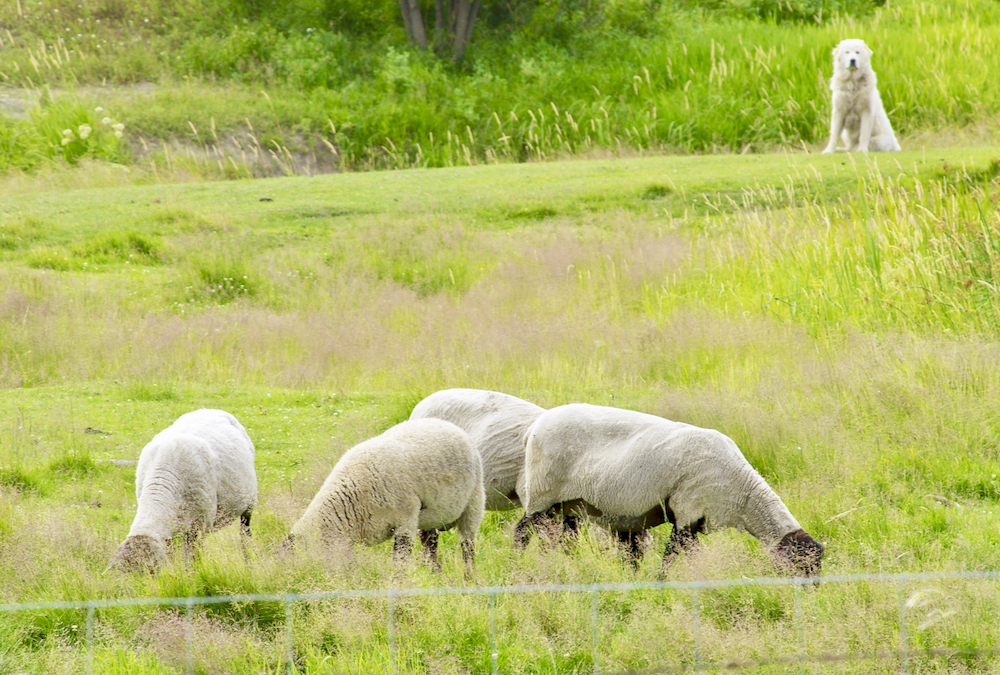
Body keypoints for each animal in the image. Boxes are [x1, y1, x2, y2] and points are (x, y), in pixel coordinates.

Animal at [107, 409, 258, 573]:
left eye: (150, 571)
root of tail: (210, 410)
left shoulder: (199, 525)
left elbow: (193, 556)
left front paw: (193, 573)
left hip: (249, 504)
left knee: (245, 534)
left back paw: (248, 562)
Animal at [289, 418, 485, 577]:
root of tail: (447, 423)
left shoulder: (406, 519)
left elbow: (400, 560)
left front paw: (398, 584)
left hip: (474, 501)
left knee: (467, 545)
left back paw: (469, 577)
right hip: (433, 514)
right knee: (430, 542)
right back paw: (435, 573)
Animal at [519, 404, 824, 577]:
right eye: (803, 566)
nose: (810, 594)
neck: (744, 494)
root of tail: (537, 425)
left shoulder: (697, 521)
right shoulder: (688, 513)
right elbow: (671, 558)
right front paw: (661, 582)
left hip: (569, 503)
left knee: (562, 540)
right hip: (542, 492)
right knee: (521, 531)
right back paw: (516, 561)